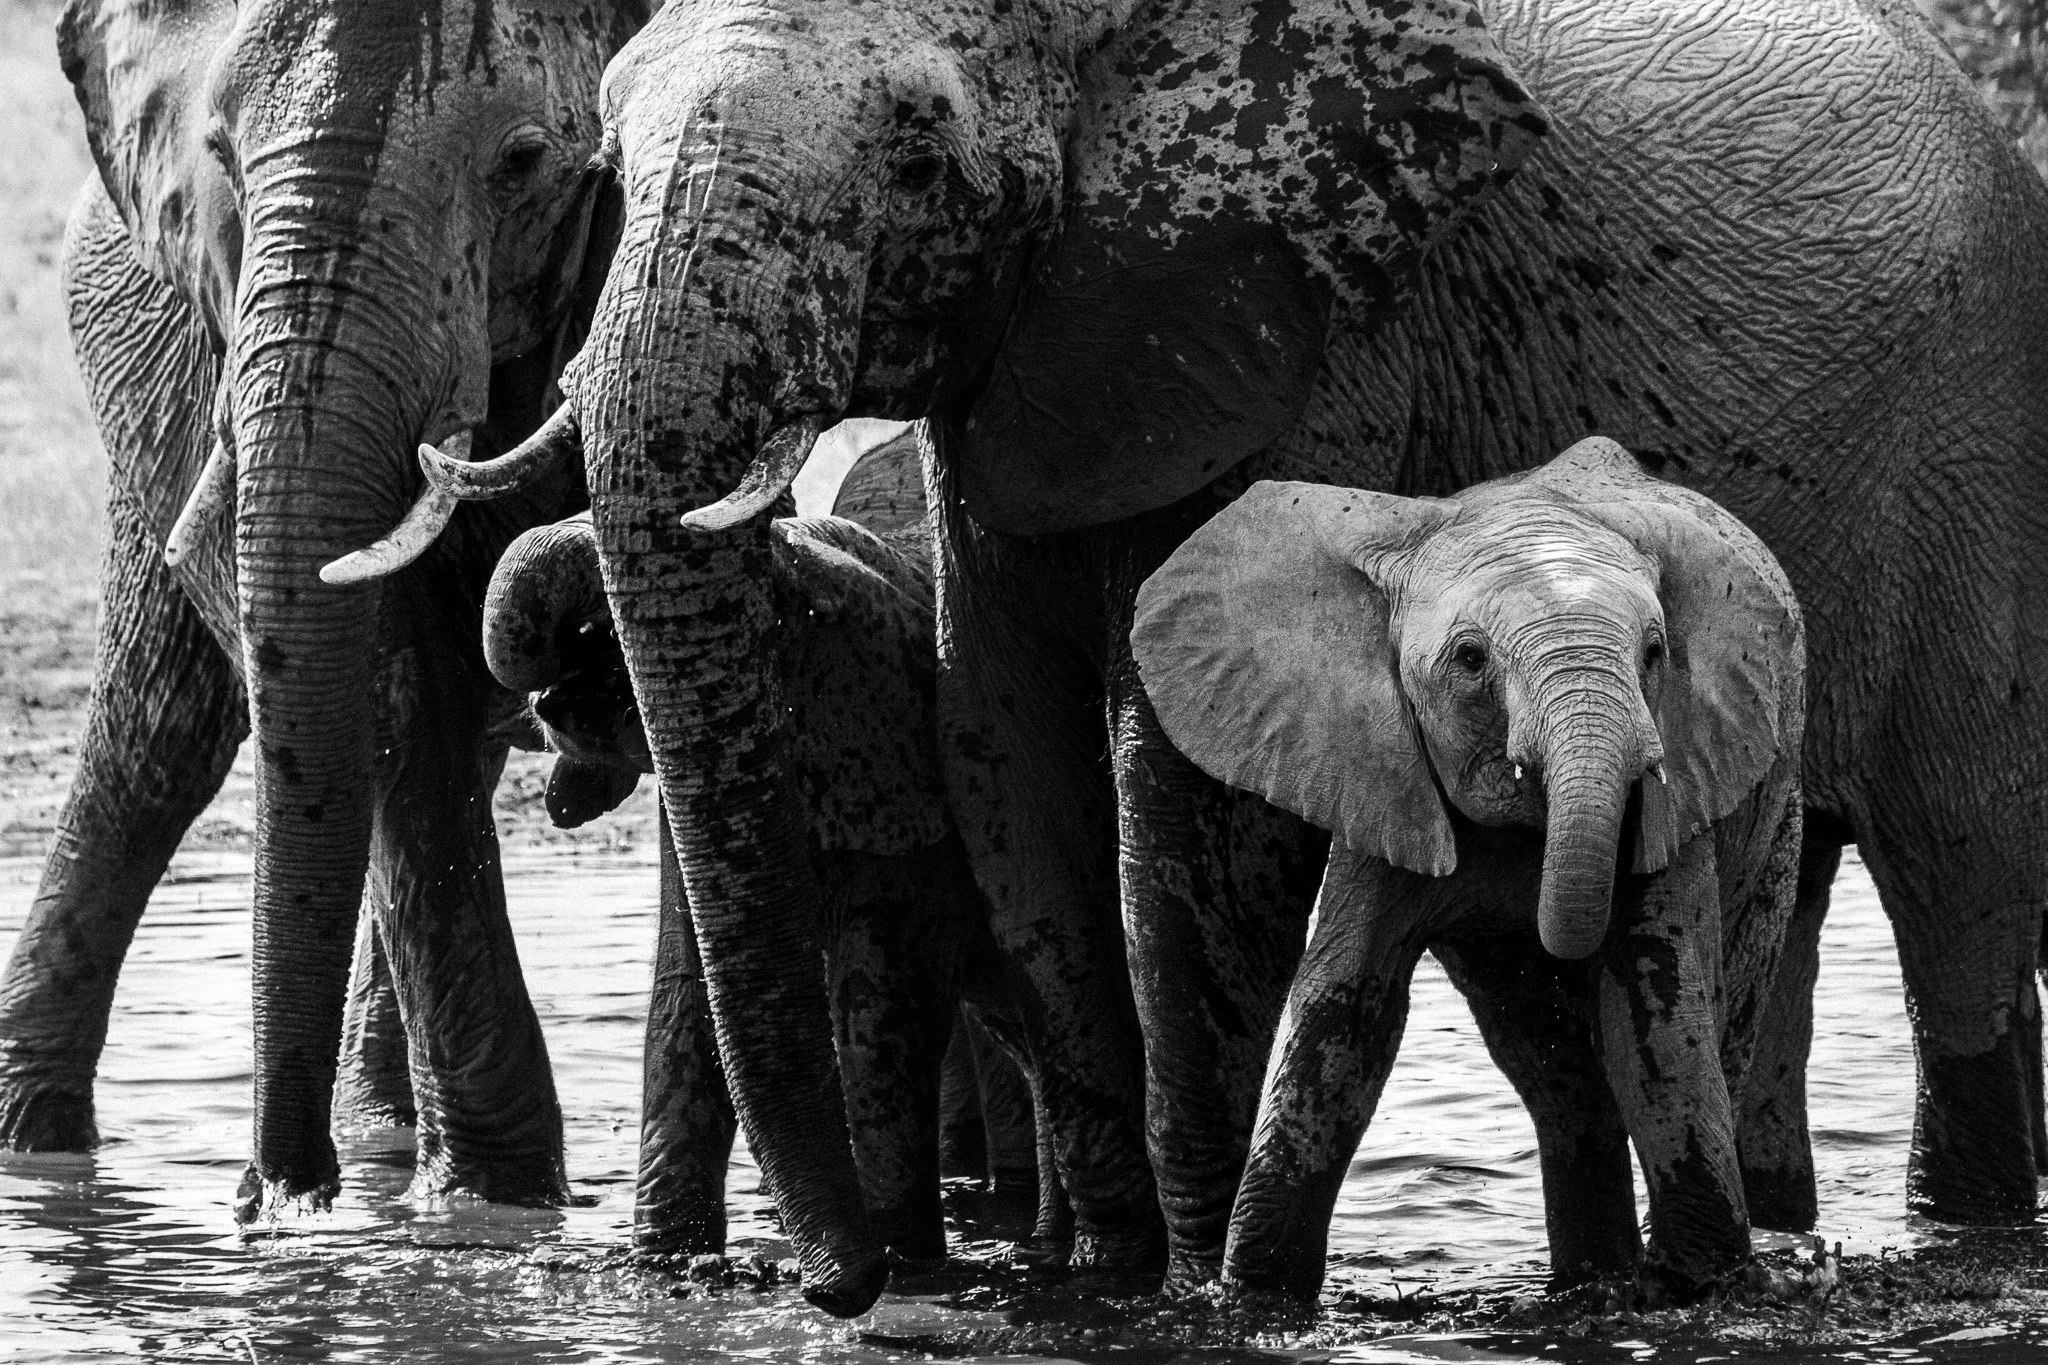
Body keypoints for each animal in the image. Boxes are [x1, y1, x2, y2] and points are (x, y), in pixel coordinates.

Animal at [0, 0, 648, 1223]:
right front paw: (497, 1206)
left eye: (523, 164)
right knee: (158, 749)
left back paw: (379, 1144)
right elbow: (391, 690)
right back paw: (43, 1155)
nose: (266, 1192)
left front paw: (483, 1220)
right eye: (220, 162)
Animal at [480, 431, 1056, 1261]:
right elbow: (688, 993)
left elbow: (877, 1006)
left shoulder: (904, 800)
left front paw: (902, 1268)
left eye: (769, 610)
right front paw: (664, 1264)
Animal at [1130, 440, 1806, 1295]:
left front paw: (1698, 1285)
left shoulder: (1682, 772)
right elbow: (1346, 1009)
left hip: (1774, 814)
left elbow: (1653, 997)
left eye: (1655, 653)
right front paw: (1253, 1293)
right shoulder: (1380, 775)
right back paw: (1589, 1275)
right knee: (1550, 1065)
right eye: (1471, 659)